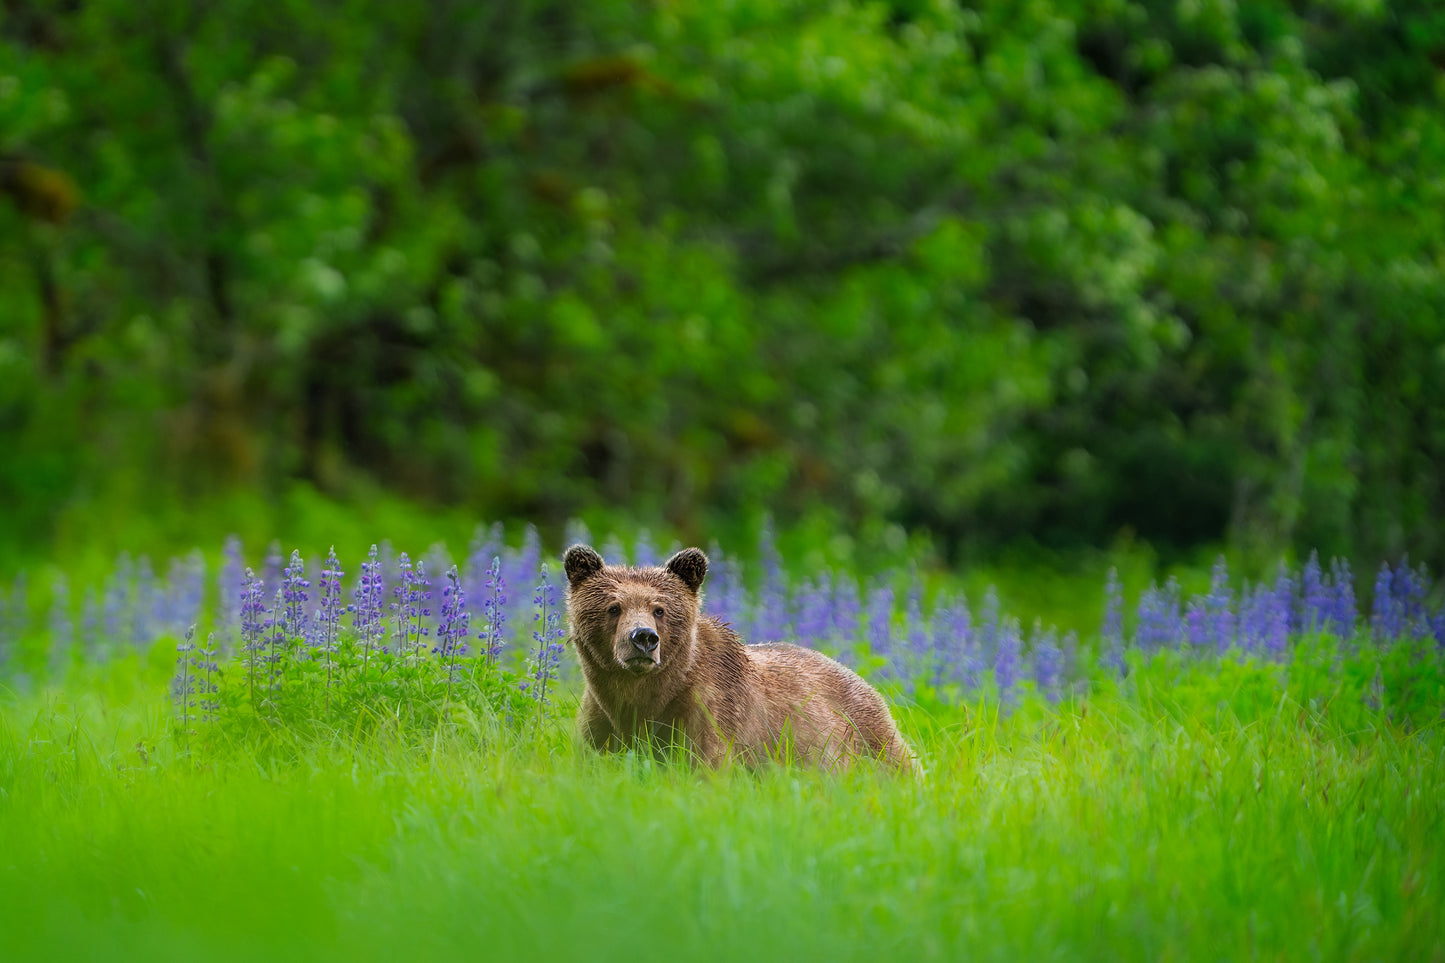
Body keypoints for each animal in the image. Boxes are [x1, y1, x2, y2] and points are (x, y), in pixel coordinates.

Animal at [557, 540, 919, 775]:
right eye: (613, 607)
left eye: (659, 609)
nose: (643, 638)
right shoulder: (601, 718)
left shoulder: (707, 711)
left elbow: (706, 763)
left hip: (865, 732)